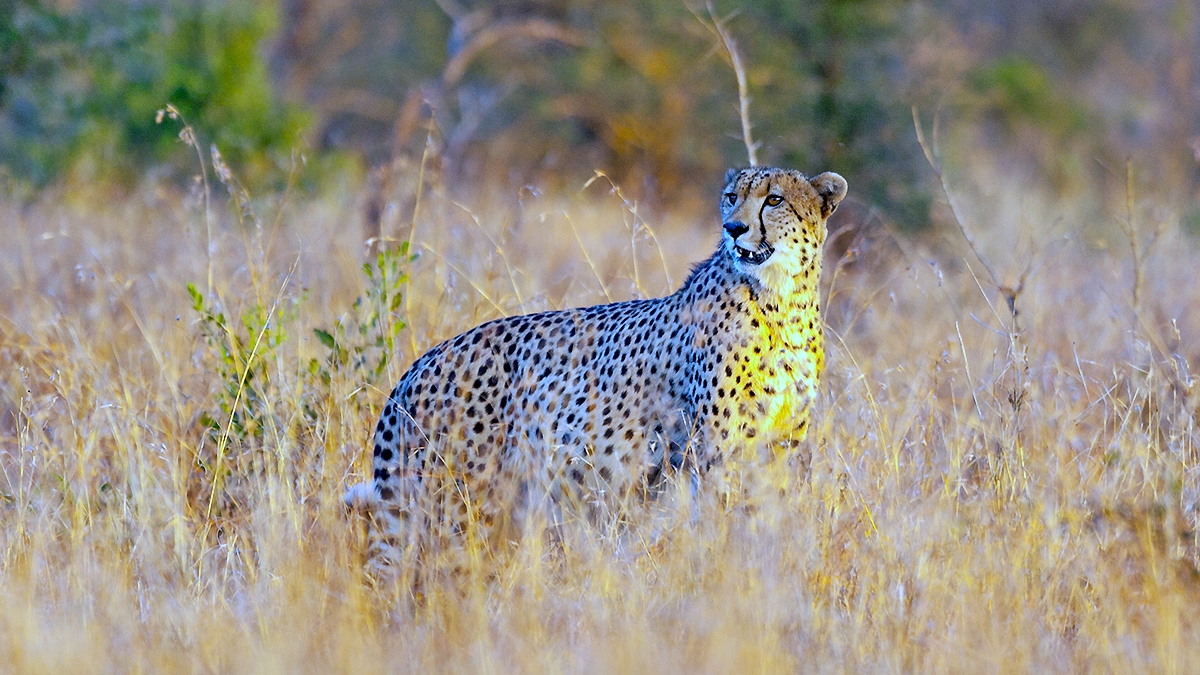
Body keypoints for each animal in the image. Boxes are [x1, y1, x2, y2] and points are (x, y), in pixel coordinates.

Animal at [346, 166, 847, 574]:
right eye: (730, 196)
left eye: (774, 199)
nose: (734, 227)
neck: (782, 301)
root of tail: (419, 363)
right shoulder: (714, 450)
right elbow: (721, 521)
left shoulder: (778, 448)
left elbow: (770, 517)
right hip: (457, 501)